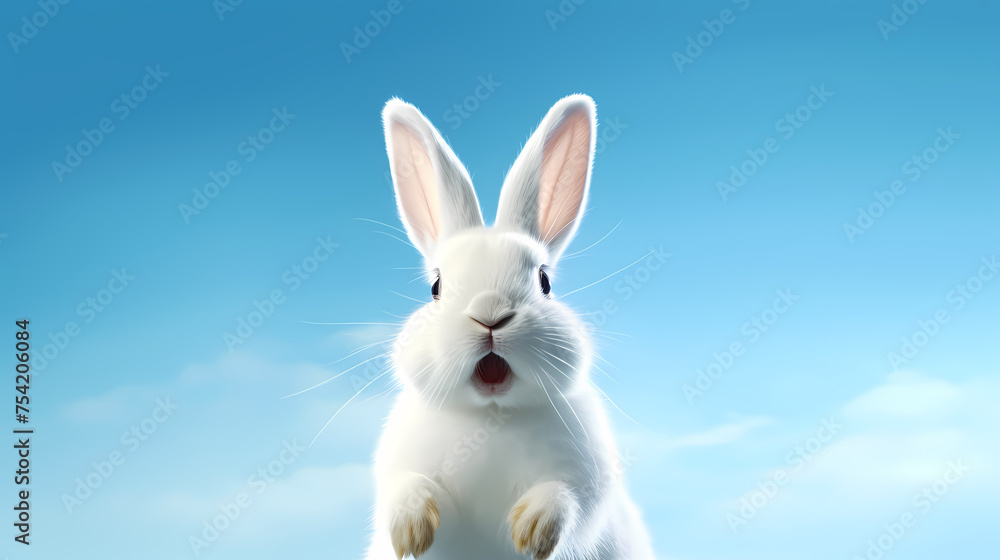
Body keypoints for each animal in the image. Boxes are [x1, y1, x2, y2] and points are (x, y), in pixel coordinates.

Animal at [364, 94, 655, 560]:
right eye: (436, 287)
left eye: (544, 281)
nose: (490, 314)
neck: (491, 416)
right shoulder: (401, 466)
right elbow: (407, 487)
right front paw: (411, 531)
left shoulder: (587, 481)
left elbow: (568, 501)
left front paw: (531, 530)